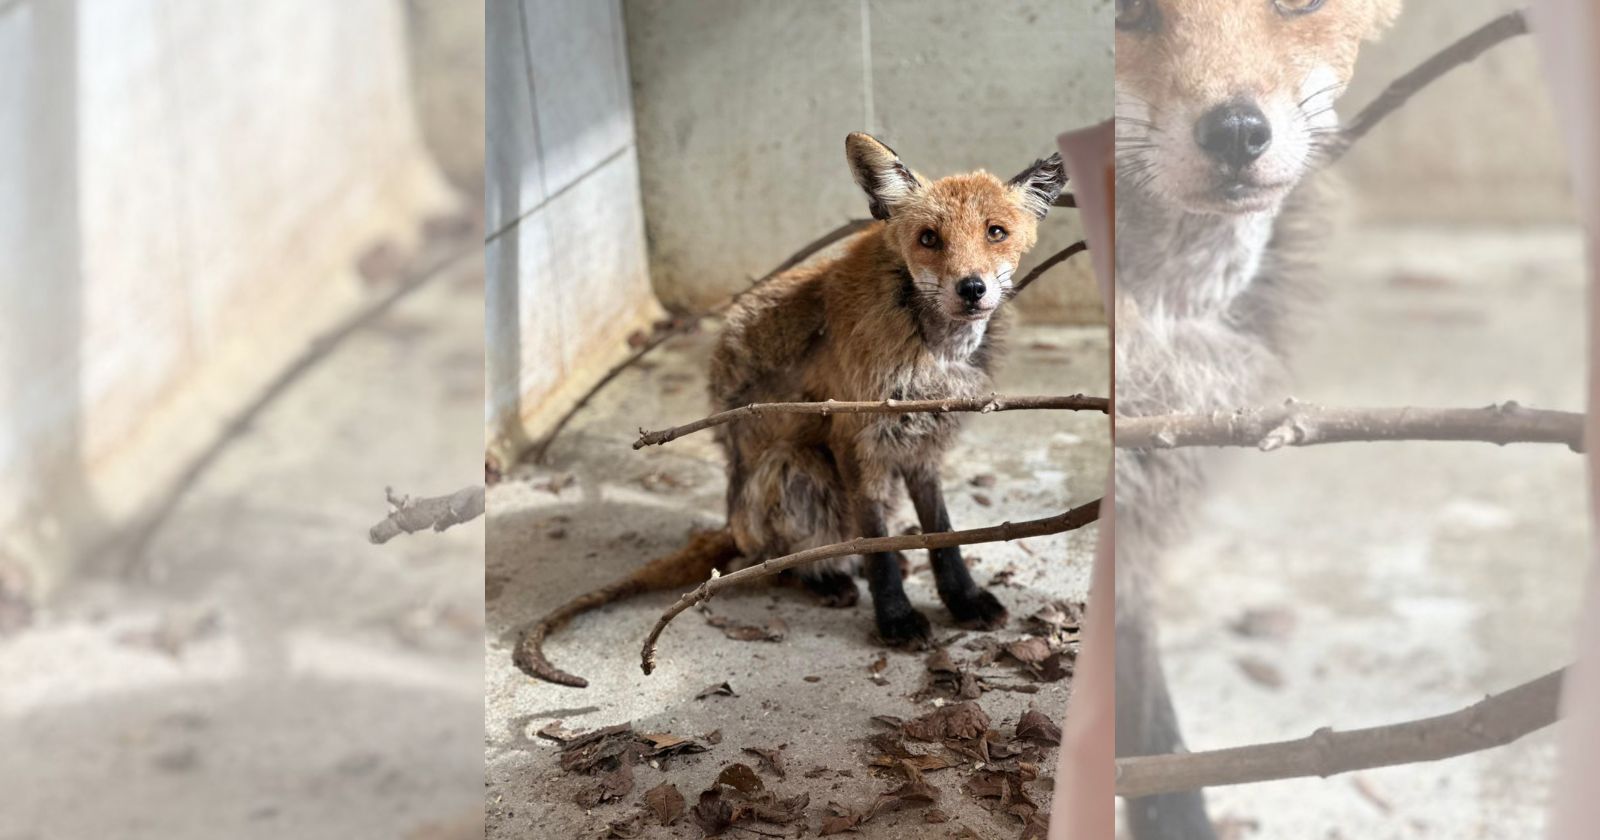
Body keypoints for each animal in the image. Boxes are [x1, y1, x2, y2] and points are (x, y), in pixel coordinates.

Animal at [516, 132, 1068, 688]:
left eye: (995, 232)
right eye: (929, 238)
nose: (972, 288)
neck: (932, 351)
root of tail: (732, 519)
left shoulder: (922, 444)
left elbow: (945, 536)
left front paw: (963, 600)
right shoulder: (855, 439)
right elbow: (877, 546)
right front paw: (894, 618)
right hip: (797, 468)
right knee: (779, 558)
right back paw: (822, 579)